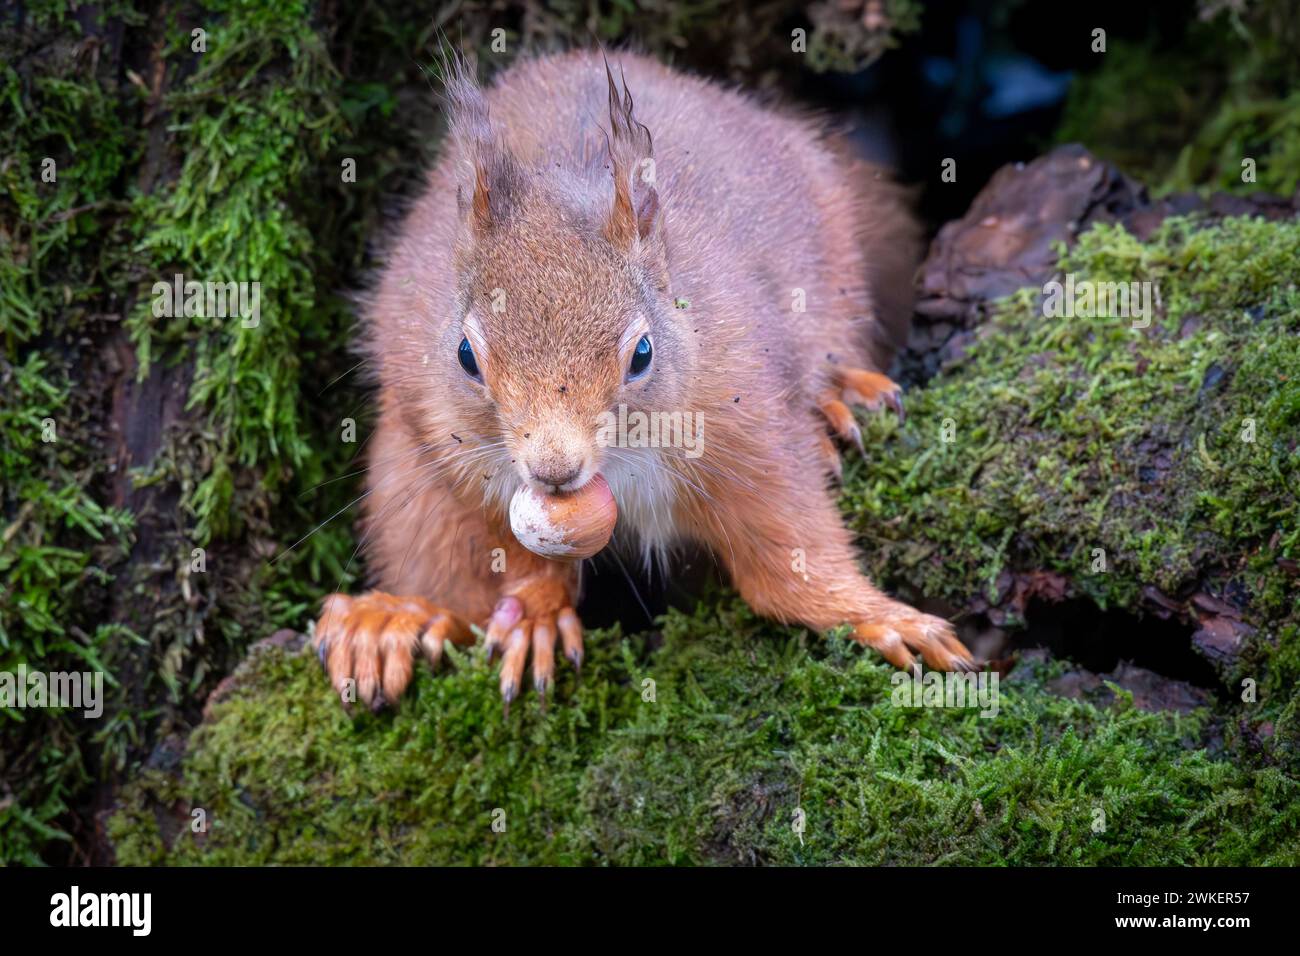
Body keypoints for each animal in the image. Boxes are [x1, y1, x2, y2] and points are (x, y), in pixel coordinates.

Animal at [312, 49, 975, 710]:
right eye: (465, 356)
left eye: (642, 354)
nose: (554, 471)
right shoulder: (457, 452)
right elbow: (508, 558)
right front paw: (537, 614)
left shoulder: (747, 425)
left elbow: (790, 553)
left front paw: (876, 617)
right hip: (409, 484)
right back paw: (392, 623)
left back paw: (839, 397)